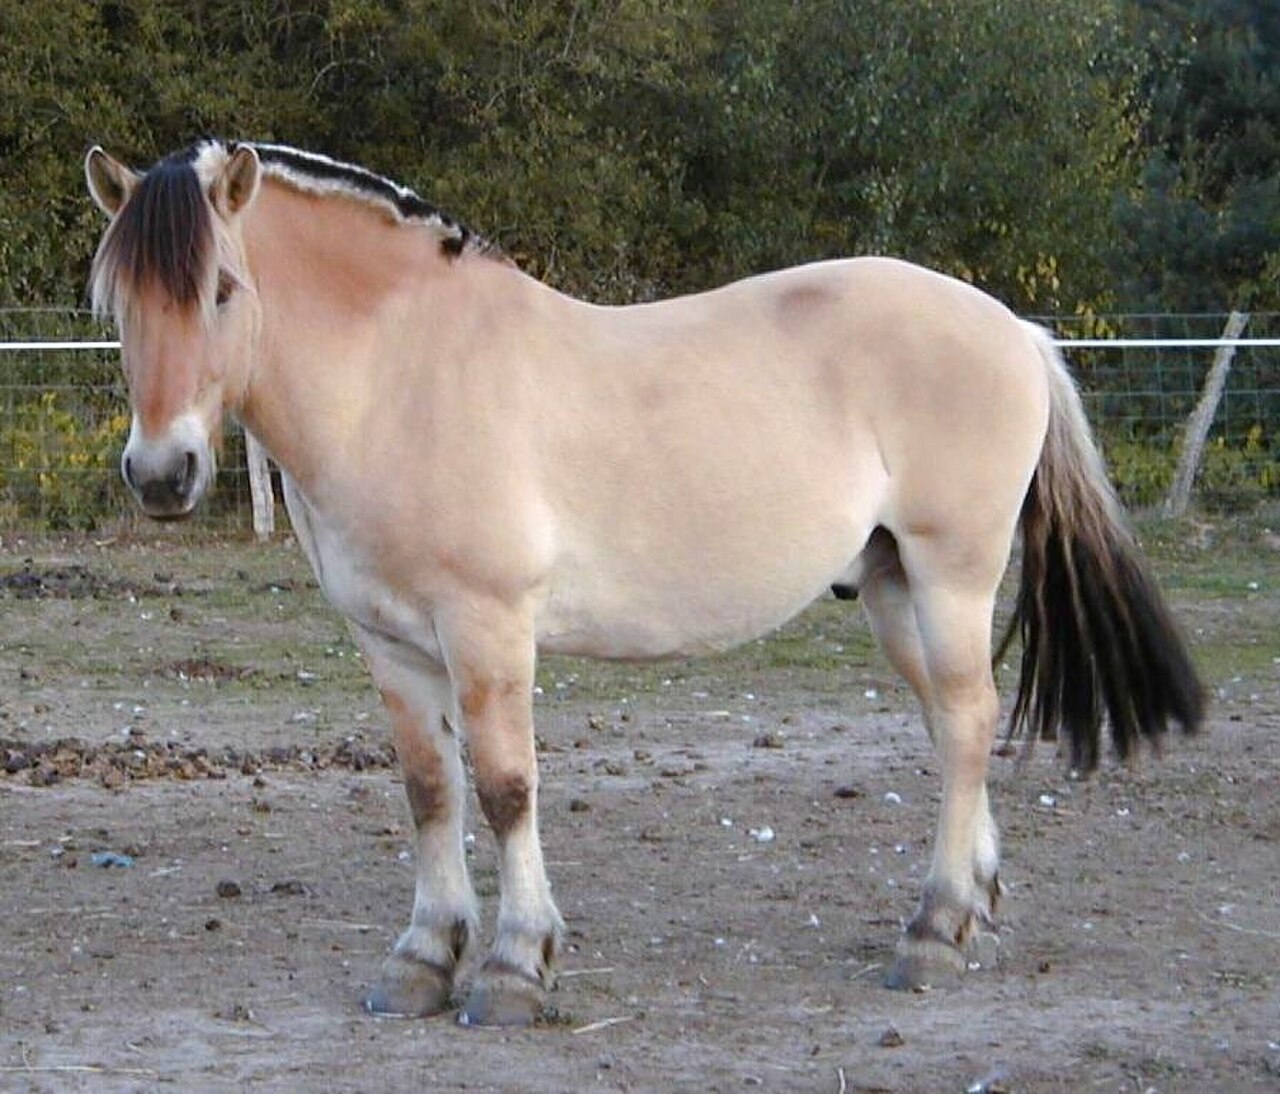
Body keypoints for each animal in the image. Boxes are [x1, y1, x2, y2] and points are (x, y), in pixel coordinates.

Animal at [84, 139, 1203, 1027]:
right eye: (121, 302)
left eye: (221, 289)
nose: (162, 474)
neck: (403, 377)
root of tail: (1017, 330)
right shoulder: (389, 642)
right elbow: (429, 791)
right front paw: (420, 961)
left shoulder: (487, 627)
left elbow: (505, 788)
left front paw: (512, 967)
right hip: (892, 588)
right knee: (949, 723)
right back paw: (970, 908)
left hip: (950, 573)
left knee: (969, 723)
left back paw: (929, 933)